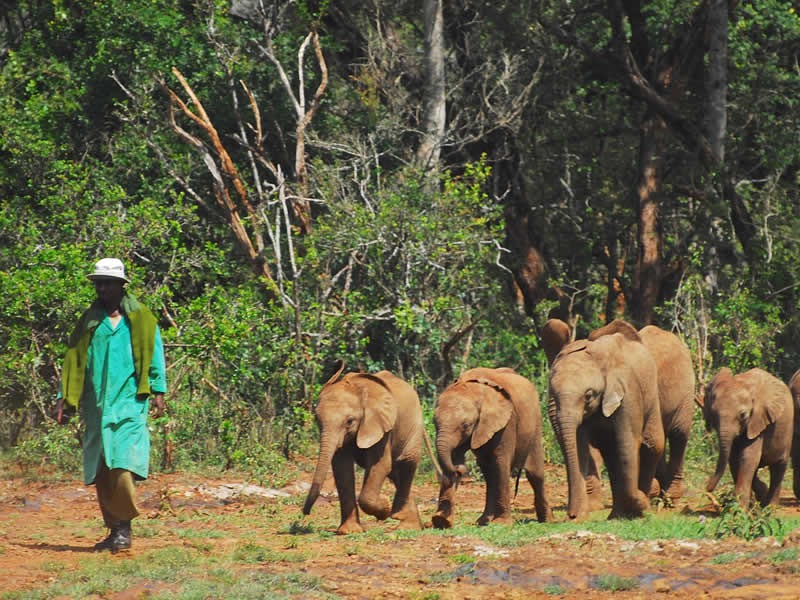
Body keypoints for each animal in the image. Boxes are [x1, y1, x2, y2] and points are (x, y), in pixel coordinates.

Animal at [302, 366, 424, 536]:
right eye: (317, 420)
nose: (305, 513)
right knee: (395, 472)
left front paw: (385, 508)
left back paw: (403, 521)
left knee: (406, 463)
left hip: (415, 424)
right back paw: (409, 526)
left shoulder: (381, 426)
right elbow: (342, 469)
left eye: (349, 421)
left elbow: (380, 465)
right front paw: (349, 531)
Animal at [432, 368, 552, 528]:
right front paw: (441, 521)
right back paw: (483, 521)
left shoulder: (506, 422)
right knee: (489, 473)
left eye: (466, 425)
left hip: (535, 423)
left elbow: (501, 462)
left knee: (534, 473)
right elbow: (456, 457)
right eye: (434, 423)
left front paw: (502, 524)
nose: (460, 470)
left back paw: (547, 520)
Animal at [700, 368, 792, 504]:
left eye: (743, 415)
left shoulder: (758, 420)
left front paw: (740, 508)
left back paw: (771, 507)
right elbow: (734, 459)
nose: (708, 490)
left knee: (779, 468)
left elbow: (748, 456)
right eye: (714, 414)